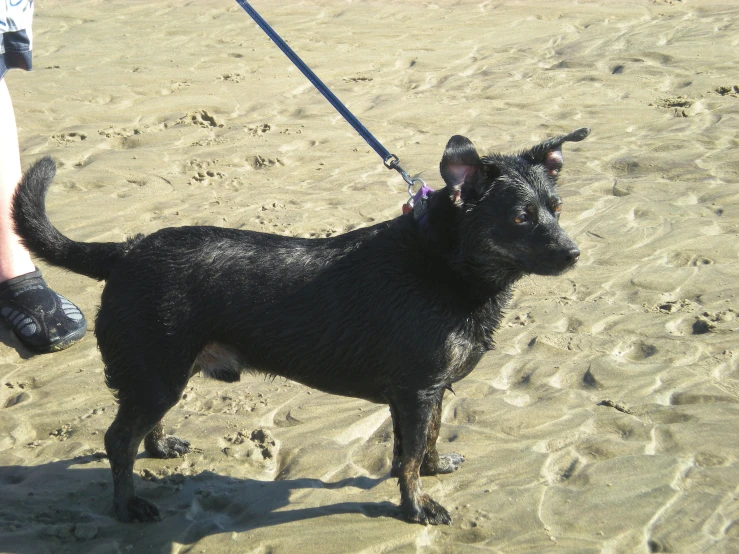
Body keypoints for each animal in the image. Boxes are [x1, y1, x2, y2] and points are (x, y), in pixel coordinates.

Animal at [11, 127, 588, 524]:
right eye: (519, 218)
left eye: (557, 208)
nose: (574, 254)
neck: (446, 264)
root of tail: (125, 251)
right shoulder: (417, 390)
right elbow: (404, 459)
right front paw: (417, 508)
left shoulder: (429, 392)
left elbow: (422, 443)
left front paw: (433, 469)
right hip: (157, 372)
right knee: (117, 439)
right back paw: (128, 507)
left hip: (163, 374)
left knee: (136, 429)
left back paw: (158, 448)